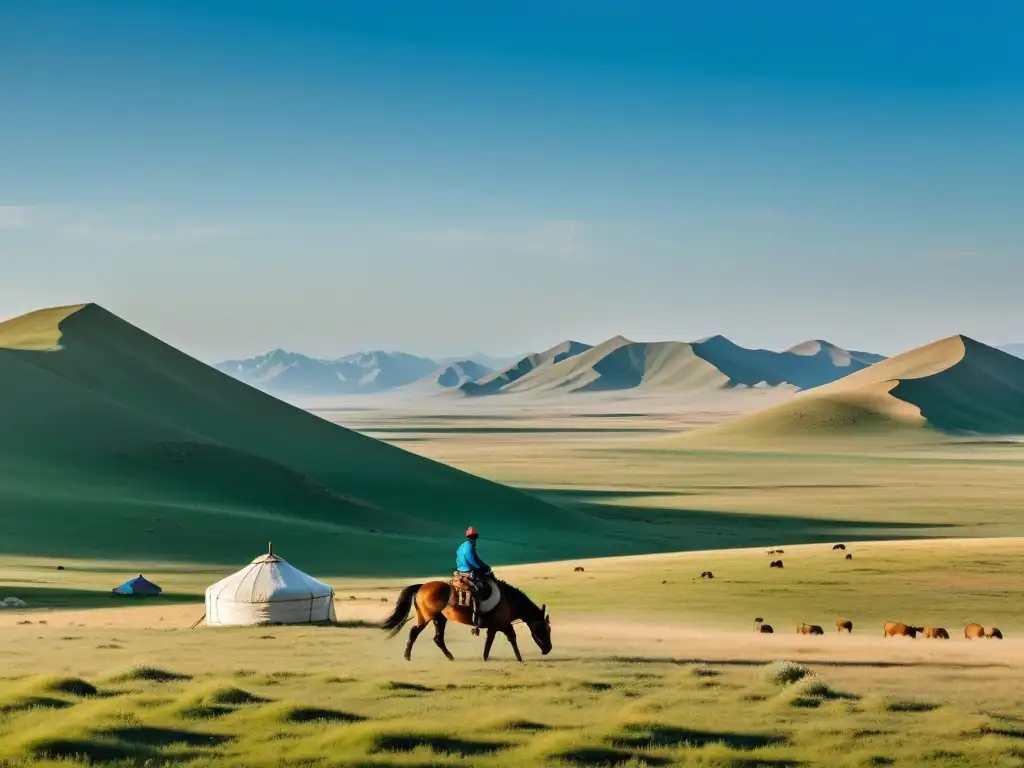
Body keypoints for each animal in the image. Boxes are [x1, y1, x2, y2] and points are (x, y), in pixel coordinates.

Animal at [378, 581, 552, 663]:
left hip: (439, 619)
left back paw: (450, 657)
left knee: (438, 638)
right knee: (414, 632)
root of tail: (422, 586)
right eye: (545, 629)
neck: (509, 601)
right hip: (426, 617)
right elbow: (512, 639)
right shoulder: (502, 625)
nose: (548, 649)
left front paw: (485, 657)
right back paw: (407, 656)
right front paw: (520, 659)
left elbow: (491, 641)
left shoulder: (496, 626)